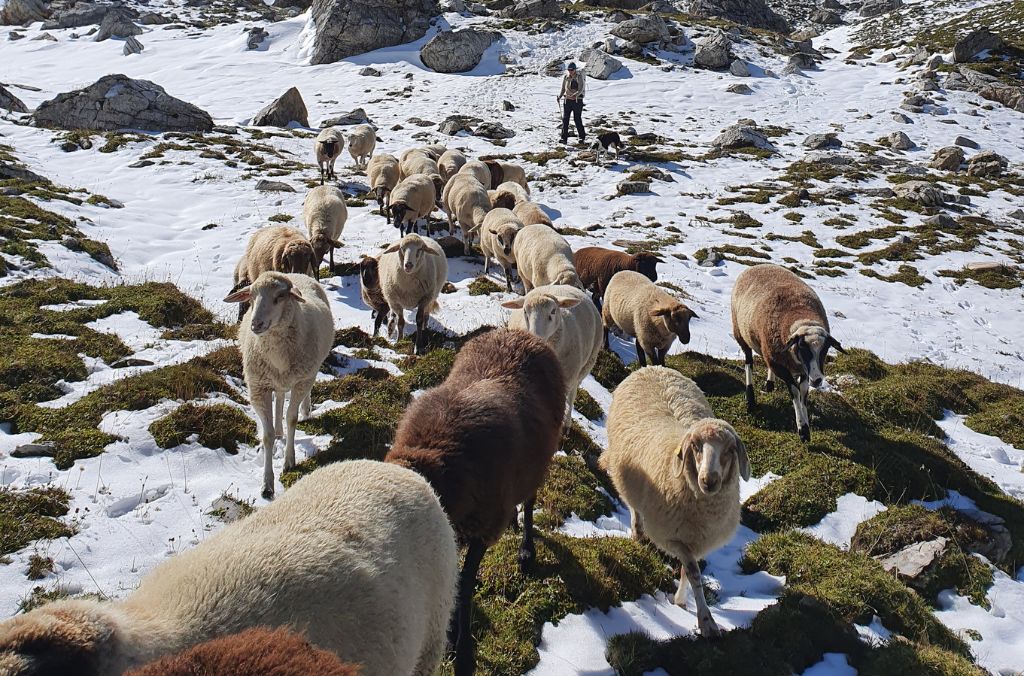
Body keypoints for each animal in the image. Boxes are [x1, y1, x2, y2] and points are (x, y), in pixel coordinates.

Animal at [224, 272, 334, 499]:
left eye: (280, 297)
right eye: (251, 296)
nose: (256, 324)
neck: (278, 356)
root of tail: (296, 273)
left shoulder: (301, 381)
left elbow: (292, 419)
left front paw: (289, 461)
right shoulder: (258, 388)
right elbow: (267, 436)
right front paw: (267, 485)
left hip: (310, 371)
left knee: (303, 393)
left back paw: (305, 410)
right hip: (275, 381)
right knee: (281, 397)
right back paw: (279, 430)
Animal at [385, 328, 567, 676]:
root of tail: (521, 333)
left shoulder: (484, 525)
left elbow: (466, 583)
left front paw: (464, 651)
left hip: (539, 462)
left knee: (530, 500)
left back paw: (527, 550)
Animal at [502, 284, 602, 427]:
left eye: (553, 311)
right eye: (525, 311)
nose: (534, 338)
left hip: (583, 370)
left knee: (572, 396)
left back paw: (567, 423)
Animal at [601, 366, 750, 638]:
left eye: (729, 450)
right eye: (696, 446)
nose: (709, 480)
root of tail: (651, 367)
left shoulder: (698, 540)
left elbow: (687, 572)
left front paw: (681, 601)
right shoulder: (670, 537)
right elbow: (693, 572)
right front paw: (706, 621)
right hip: (625, 479)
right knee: (634, 508)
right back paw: (637, 533)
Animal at [731, 263, 846, 443]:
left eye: (826, 349)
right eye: (802, 348)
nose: (817, 380)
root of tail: (757, 265)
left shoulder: (802, 369)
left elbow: (804, 392)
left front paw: (806, 425)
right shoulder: (782, 366)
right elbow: (795, 391)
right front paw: (802, 429)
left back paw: (769, 385)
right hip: (741, 334)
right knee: (749, 362)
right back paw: (750, 399)